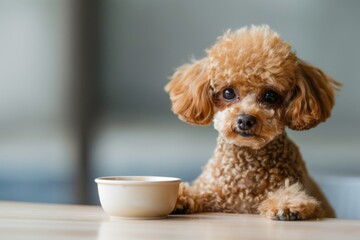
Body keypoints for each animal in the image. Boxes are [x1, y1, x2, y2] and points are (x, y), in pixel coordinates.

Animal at [166, 25, 340, 220]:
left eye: (270, 95)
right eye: (228, 93)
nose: (245, 119)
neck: (247, 167)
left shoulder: (315, 203)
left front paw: (287, 205)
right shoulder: (208, 191)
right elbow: (195, 193)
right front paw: (179, 198)